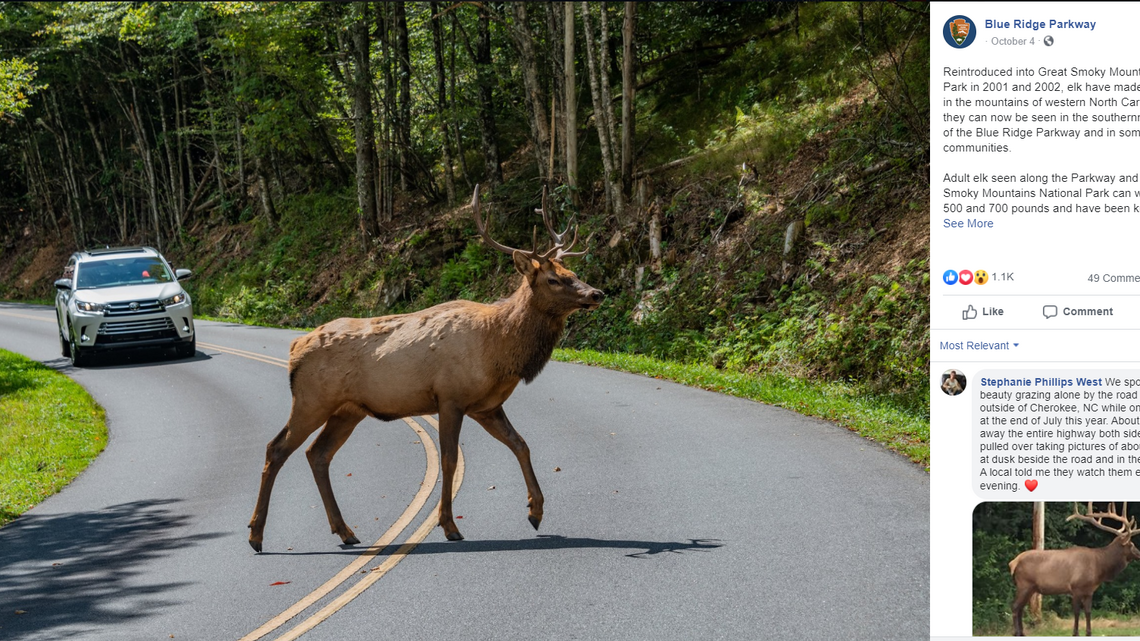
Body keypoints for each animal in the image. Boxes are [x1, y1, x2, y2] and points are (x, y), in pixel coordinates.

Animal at [247, 185, 604, 552]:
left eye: (574, 274)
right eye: (553, 279)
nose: (597, 293)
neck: (499, 350)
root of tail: (295, 347)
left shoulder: (486, 406)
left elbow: (521, 444)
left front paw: (536, 512)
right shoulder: (450, 396)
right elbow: (450, 459)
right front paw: (449, 526)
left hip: (348, 410)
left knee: (317, 453)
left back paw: (345, 531)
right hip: (312, 400)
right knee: (276, 448)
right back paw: (256, 535)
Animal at [1010, 502, 1140, 636]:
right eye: (1131, 544)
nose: (1139, 554)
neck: (1099, 566)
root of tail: (1014, 562)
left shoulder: (1089, 591)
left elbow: (1088, 611)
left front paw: (1089, 633)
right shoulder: (1076, 587)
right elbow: (1077, 612)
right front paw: (1075, 633)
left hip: (1031, 588)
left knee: (1020, 608)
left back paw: (1022, 632)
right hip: (1024, 584)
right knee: (1015, 606)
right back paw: (1017, 632)